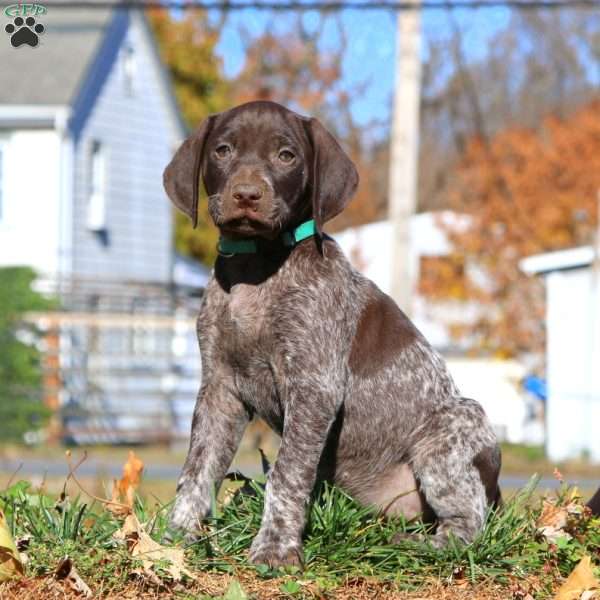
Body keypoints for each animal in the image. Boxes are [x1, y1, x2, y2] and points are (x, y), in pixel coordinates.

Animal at [163, 99, 502, 568]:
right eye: (223, 150)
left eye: (286, 155)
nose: (247, 194)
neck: (257, 267)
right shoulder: (219, 388)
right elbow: (196, 468)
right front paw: (174, 537)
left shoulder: (314, 386)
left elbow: (286, 474)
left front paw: (275, 548)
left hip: (452, 431)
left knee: (468, 526)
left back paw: (416, 545)